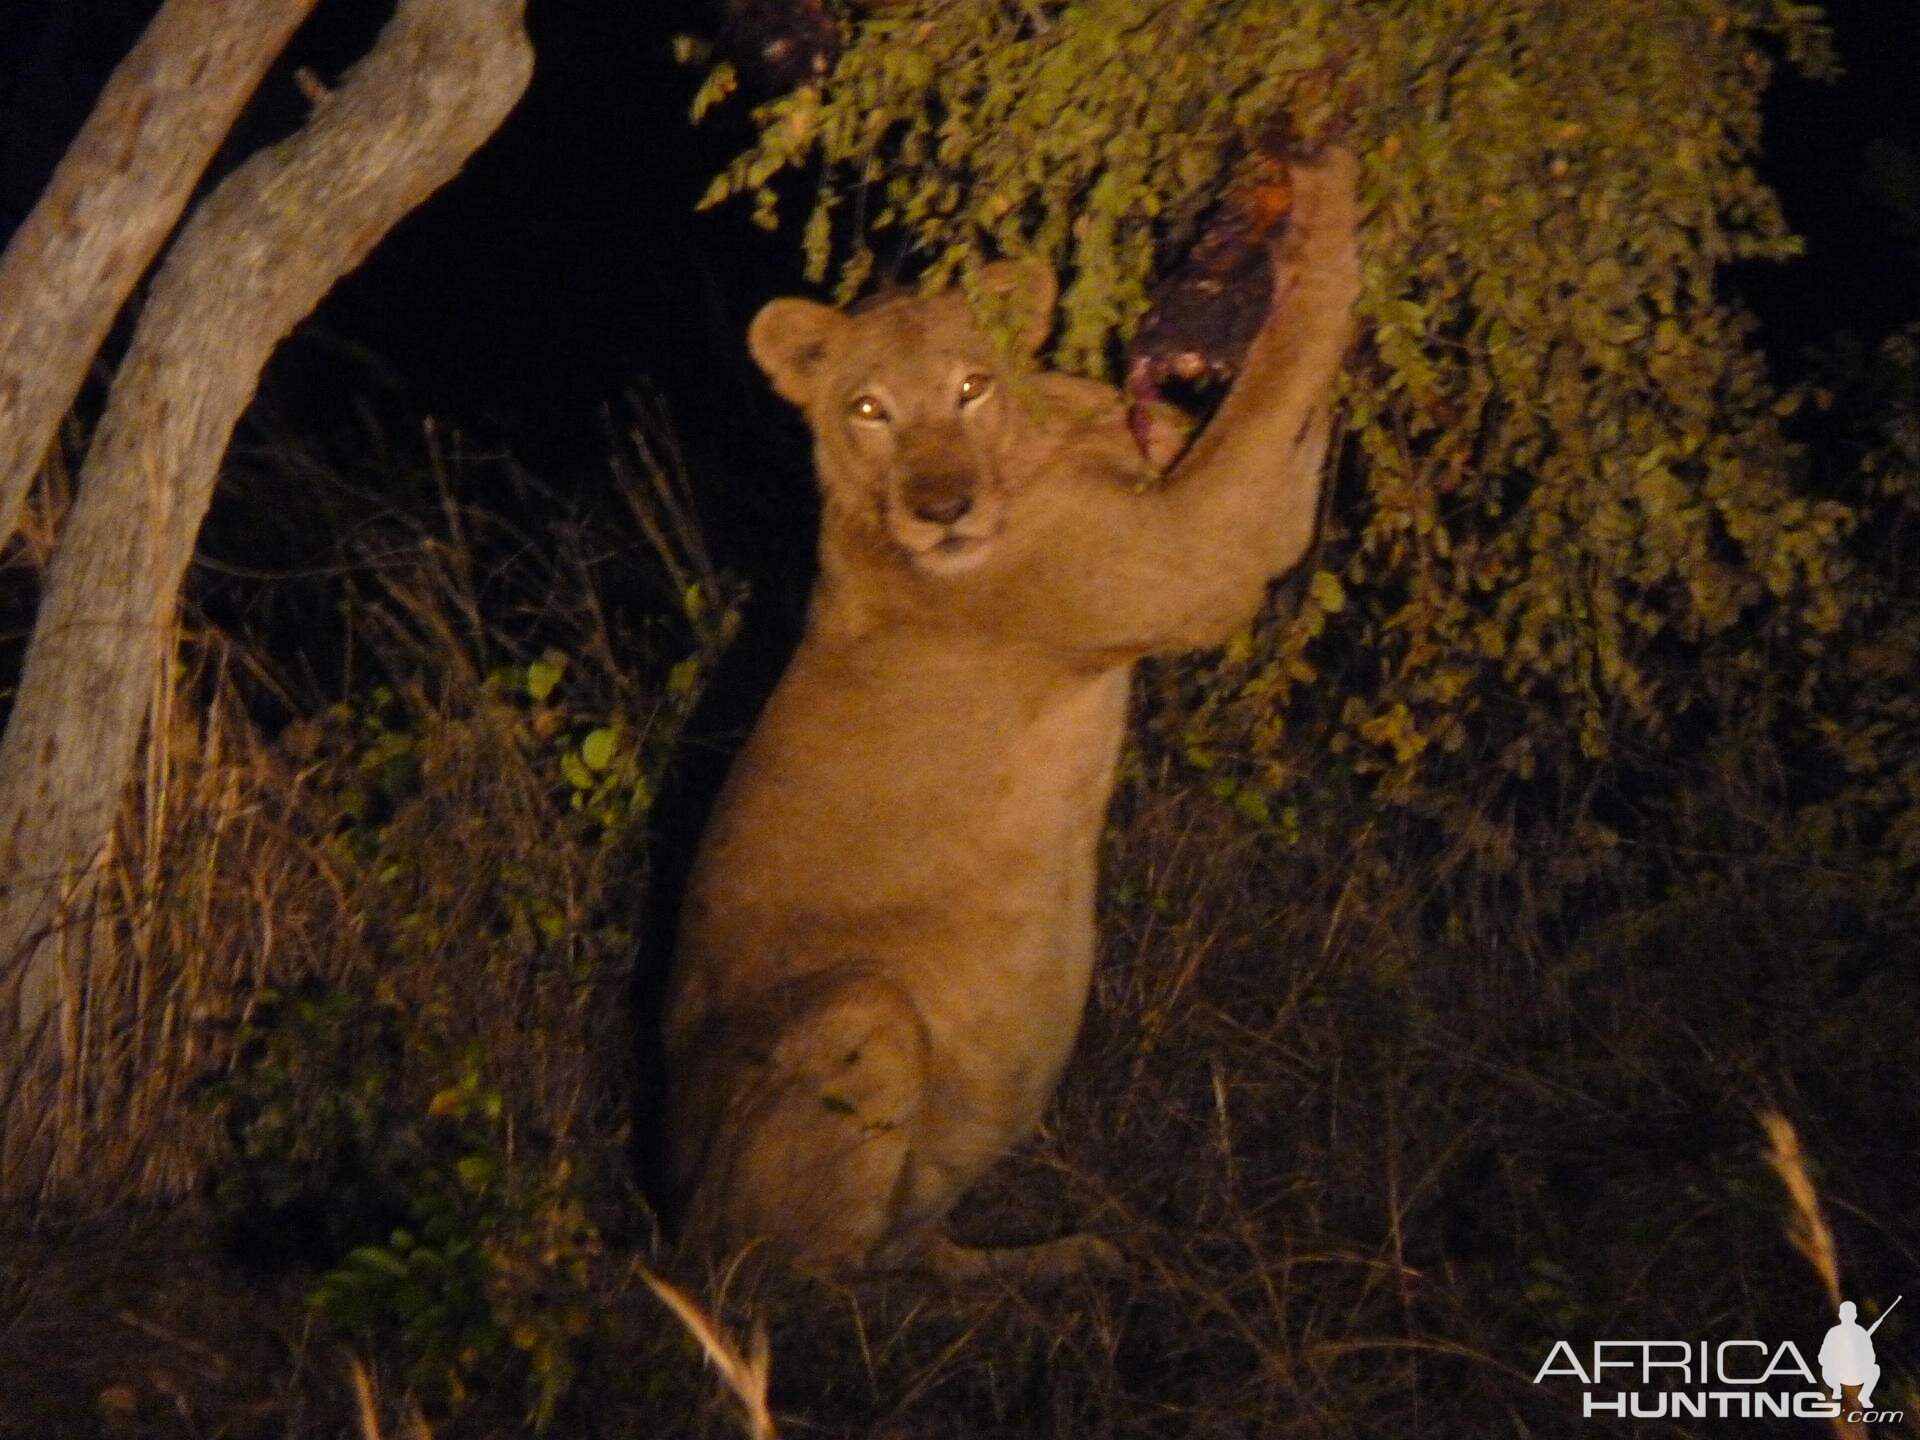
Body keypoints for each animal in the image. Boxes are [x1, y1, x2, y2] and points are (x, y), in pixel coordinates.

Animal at [668, 146, 1359, 1282]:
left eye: (971, 386)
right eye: (868, 410)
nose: (942, 509)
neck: (1028, 455)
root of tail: (669, 1222)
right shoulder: (1196, 552)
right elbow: (1287, 366)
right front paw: (1324, 195)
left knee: (916, 1253)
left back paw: (1061, 1259)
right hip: (855, 1020)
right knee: (815, 1280)